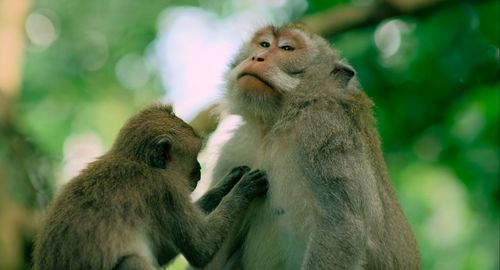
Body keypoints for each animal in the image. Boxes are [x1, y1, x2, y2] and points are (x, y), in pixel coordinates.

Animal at [32, 104, 268, 270]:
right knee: (131, 262)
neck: (139, 161)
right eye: (195, 154)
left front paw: (226, 183)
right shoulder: (164, 190)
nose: (200, 169)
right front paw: (243, 188)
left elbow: (162, 251)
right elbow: (201, 248)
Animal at [201, 25, 420, 270]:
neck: (275, 127)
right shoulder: (233, 149)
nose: (257, 57)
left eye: (287, 49)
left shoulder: (322, 129)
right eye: (264, 44)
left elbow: (341, 226)